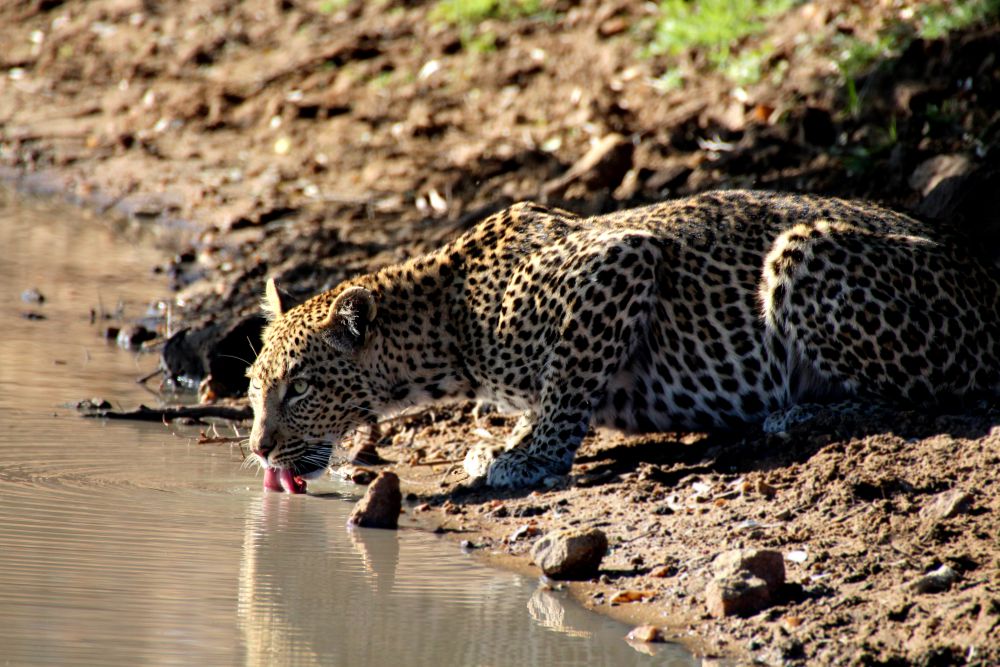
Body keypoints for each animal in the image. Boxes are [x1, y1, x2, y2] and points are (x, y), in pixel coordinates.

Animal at [246, 189, 1000, 492]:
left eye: (301, 387)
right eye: (254, 389)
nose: (256, 448)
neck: (448, 326)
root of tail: (987, 277)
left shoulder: (619, 263)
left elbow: (567, 384)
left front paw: (529, 457)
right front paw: (503, 441)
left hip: (803, 248)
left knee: (928, 398)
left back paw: (796, 413)